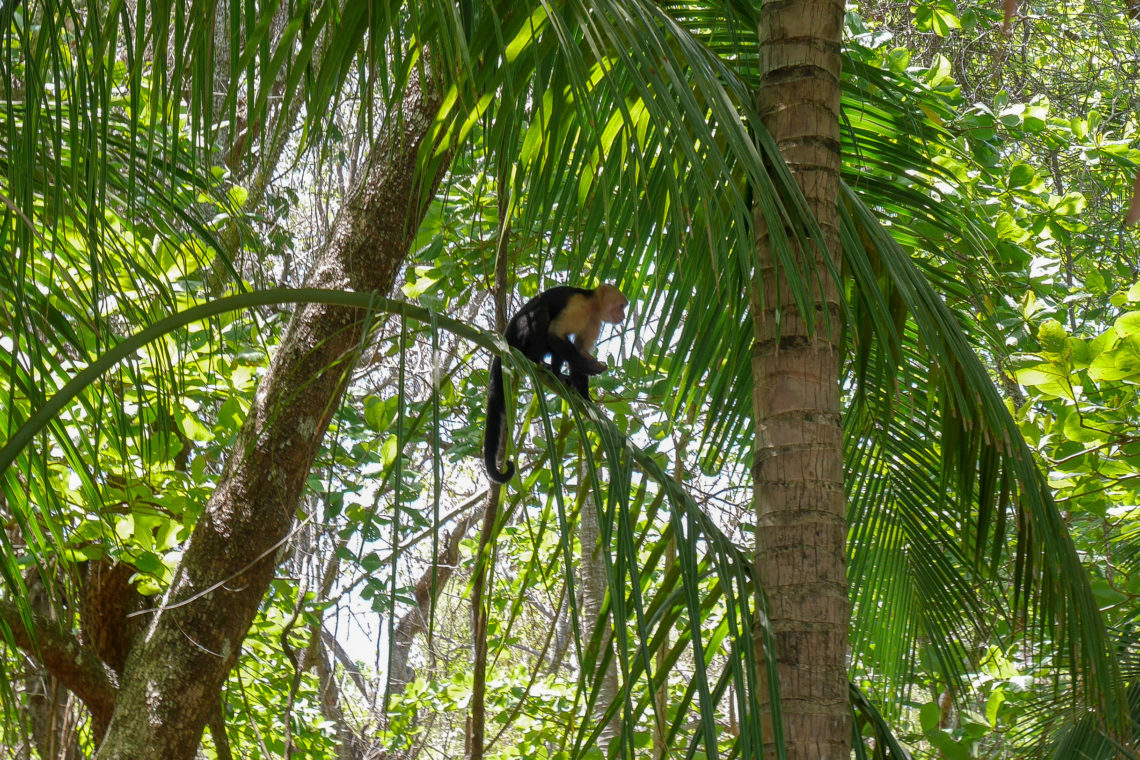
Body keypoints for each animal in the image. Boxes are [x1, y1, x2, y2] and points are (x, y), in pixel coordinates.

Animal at [478, 282, 629, 485]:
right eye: (621, 306)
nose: (623, 316)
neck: (593, 306)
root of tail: (505, 338)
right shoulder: (578, 305)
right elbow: (555, 335)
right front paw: (588, 366)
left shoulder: (594, 321)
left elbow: (579, 349)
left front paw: (584, 396)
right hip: (520, 334)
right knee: (543, 315)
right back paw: (535, 360)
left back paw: (557, 373)